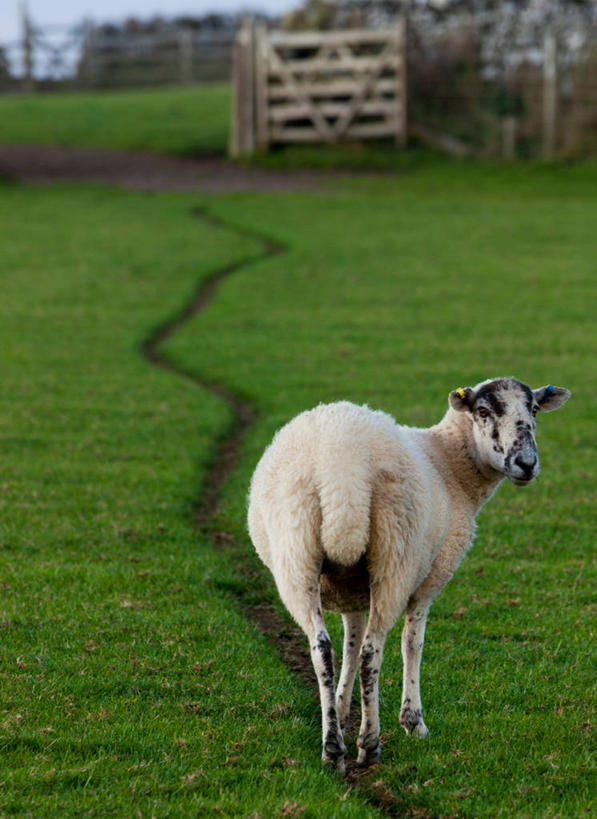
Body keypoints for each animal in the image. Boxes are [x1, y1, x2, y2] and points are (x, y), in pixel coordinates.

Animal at [246, 378, 568, 768]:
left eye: (534, 410)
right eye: (483, 411)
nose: (526, 464)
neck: (451, 465)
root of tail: (341, 470)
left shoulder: (350, 586)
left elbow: (349, 643)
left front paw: (339, 708)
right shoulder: (431, 578)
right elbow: (412, 643)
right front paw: (413, 721)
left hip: (296, 557)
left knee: (322, 649)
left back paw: (332, 748)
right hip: (394, 556)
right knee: (373, 652)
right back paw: (369, 744)